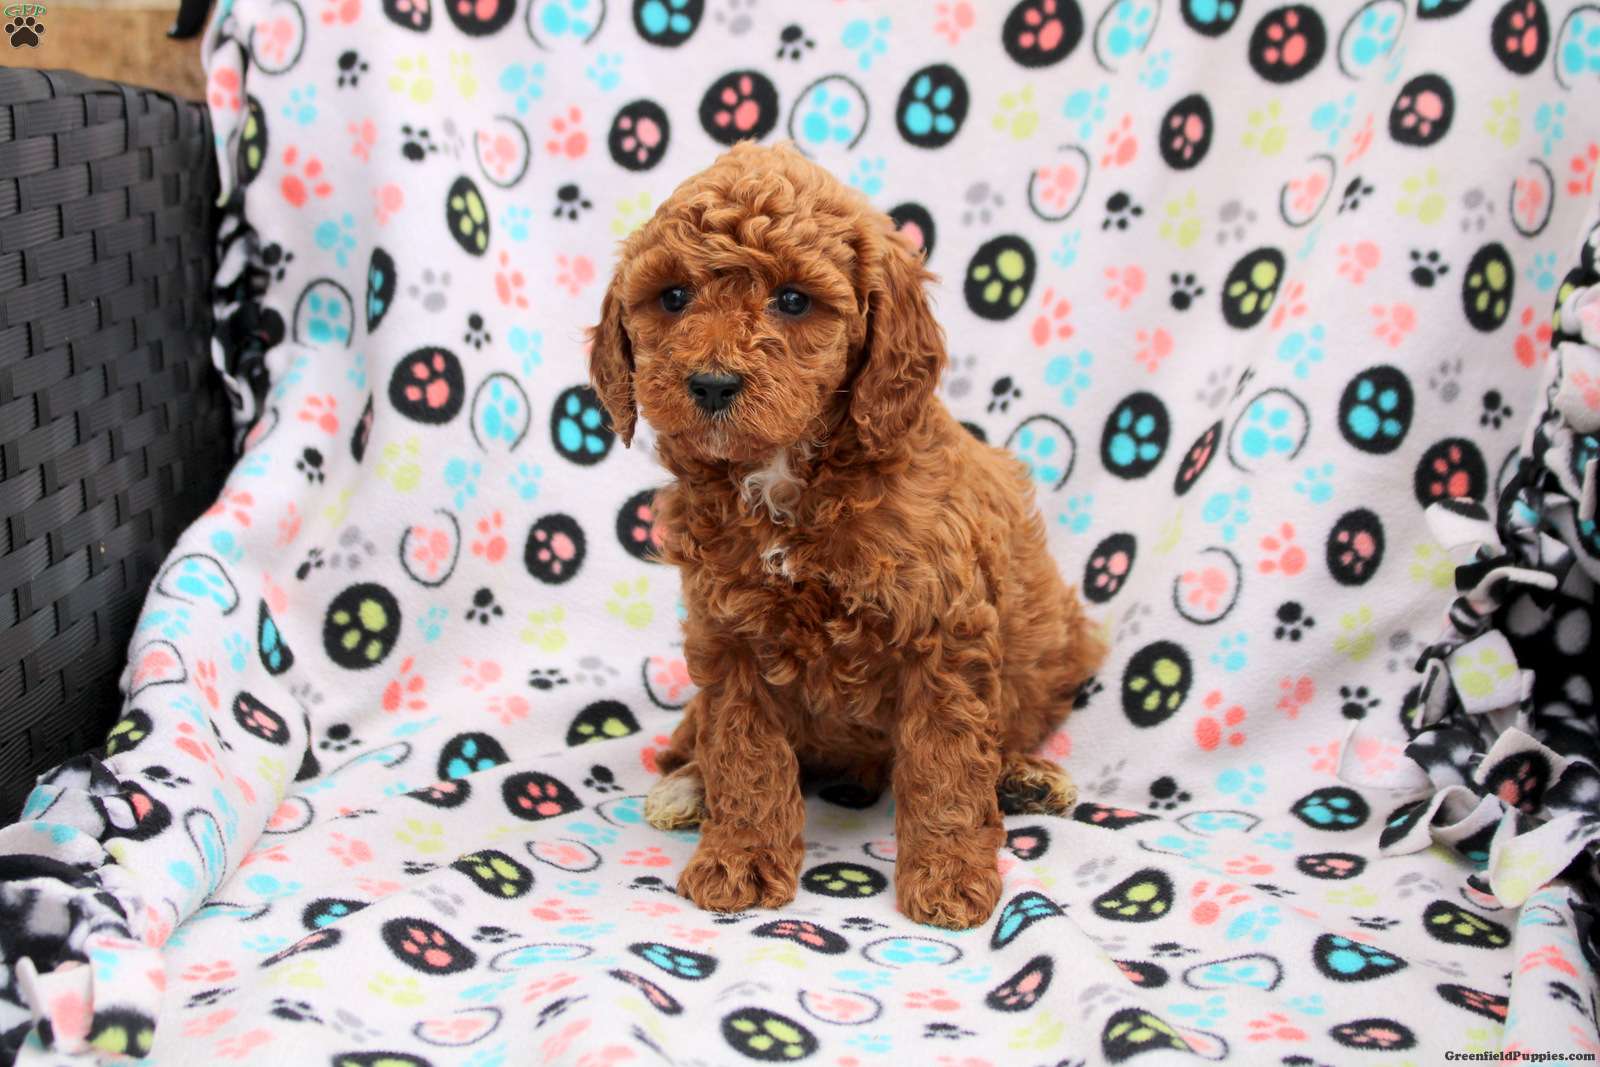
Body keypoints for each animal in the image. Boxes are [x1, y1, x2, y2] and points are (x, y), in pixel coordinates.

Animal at [588, 142, 1105, 929]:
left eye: (794, 300)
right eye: (673, 297)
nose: (711, 384)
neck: (785, 475)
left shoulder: (944, 631)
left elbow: (945, 761)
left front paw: (948, 875)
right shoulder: (728, 633)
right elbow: (742, 748)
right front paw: (741, 857)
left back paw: (1024, 779)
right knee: (694, 737)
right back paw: (686, 785)